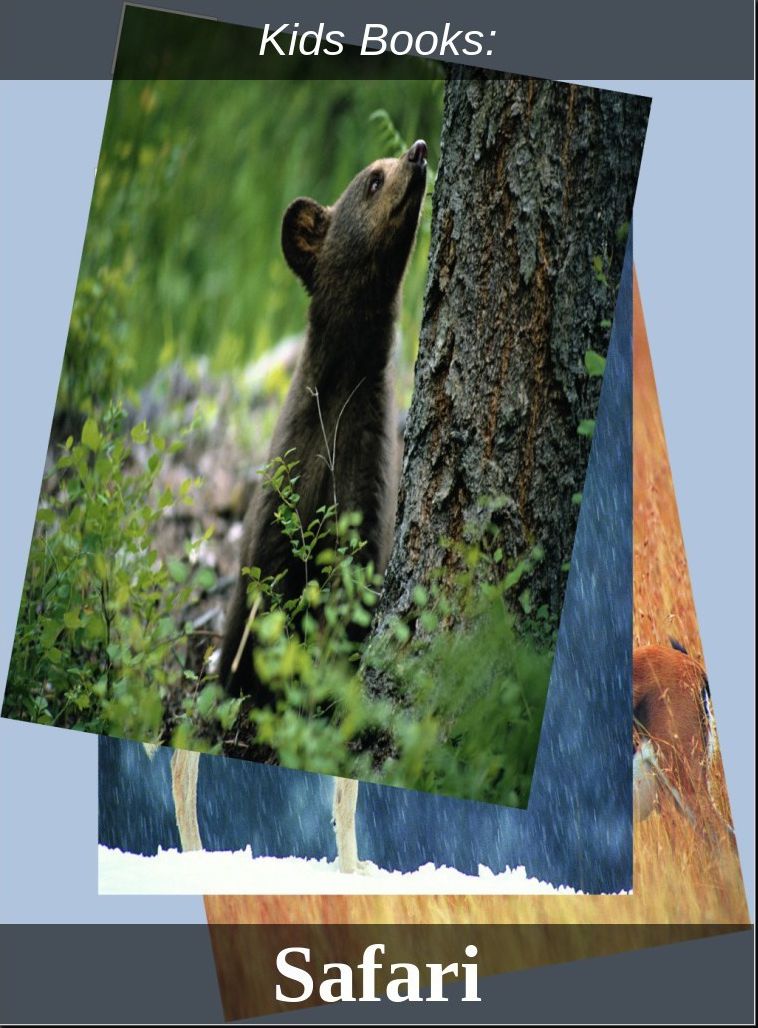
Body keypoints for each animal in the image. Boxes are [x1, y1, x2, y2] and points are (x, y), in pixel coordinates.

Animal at [218, 139, 428, 699]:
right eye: (373, 178)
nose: (419, 152)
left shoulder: (365, 460)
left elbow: (351, 573)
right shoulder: (292, 464)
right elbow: (269, 583)